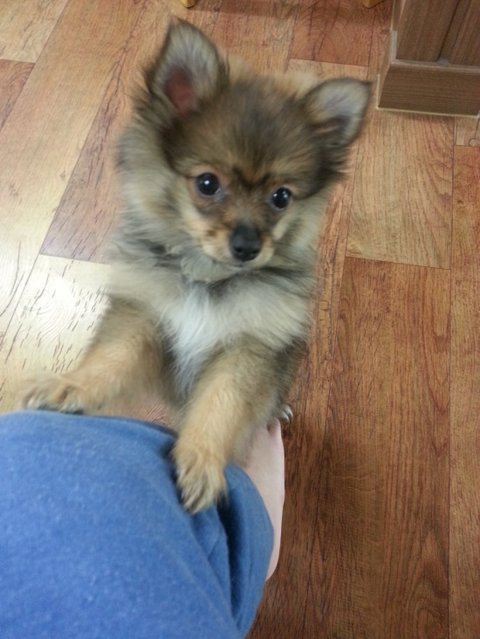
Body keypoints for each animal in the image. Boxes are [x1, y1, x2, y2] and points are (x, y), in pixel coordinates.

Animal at [23, 20, 370, 512]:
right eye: (207, 184)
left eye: (281, 197)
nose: (247, 246)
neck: (208, 277)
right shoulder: (145, 318)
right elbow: (112, 360)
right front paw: (71, 387)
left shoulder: (248, 345)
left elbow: (221, 404)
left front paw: (201, 460)